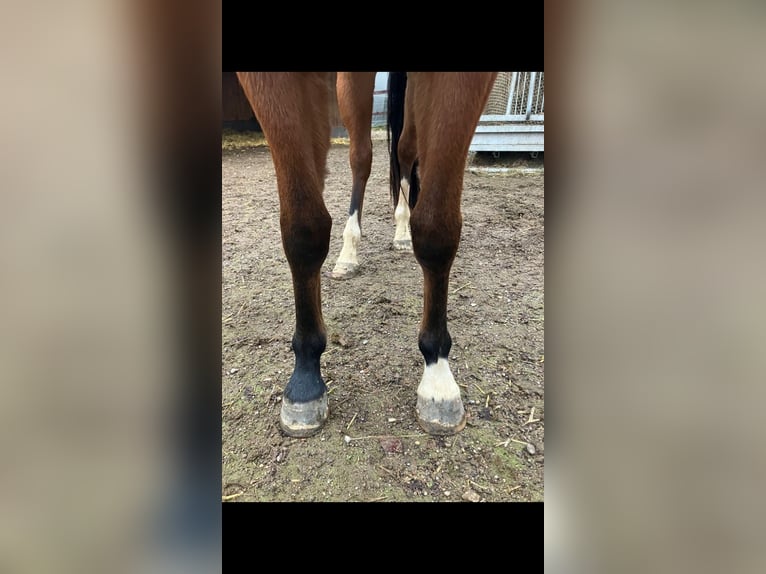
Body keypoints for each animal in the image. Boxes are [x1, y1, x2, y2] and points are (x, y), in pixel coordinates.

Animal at [235, 72, 497, 437]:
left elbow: (436, 230)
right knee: (361, 157)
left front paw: (437, 375)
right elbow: (303, 229)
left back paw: (401, 231)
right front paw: (305, 378)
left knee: (404, 150)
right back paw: (349, 252)